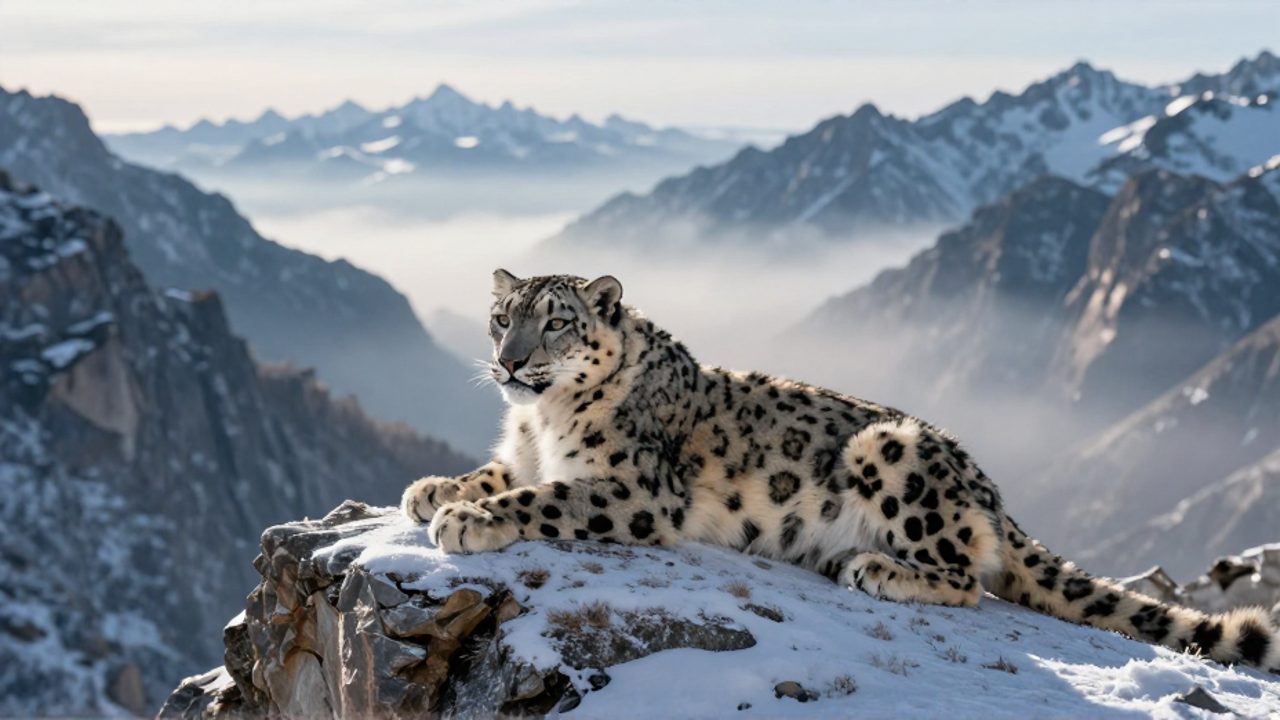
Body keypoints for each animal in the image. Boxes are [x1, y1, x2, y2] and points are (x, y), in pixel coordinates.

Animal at [402, 269, 1279, 673]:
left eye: (556, 322)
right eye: (501, 318)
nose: (512, 364)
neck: (542, 420)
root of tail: (990, 488)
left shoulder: (637, 490)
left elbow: (545, 497)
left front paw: (468, 520)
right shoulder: (516, 449)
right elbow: (497, 473)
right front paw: (433, 489)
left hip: (890, 455)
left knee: (968, 576)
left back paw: (872, 567)